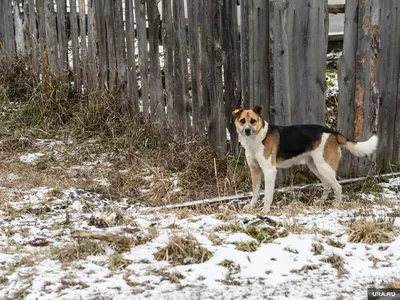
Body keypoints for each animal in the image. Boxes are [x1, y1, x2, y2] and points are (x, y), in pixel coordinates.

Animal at [231, 105, 378, 213]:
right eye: (242, 121)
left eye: (253, 121)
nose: (247, 130)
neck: (257, 138)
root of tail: (333, 132)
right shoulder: (255, 170)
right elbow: (255, 192)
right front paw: (251, 206)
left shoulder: (269, 171)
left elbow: (267, 194)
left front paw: (265, 210)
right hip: (315, 166)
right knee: (327, 184)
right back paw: (321, 202)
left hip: (324, 167)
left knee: (337, 187)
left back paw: (336, 205)